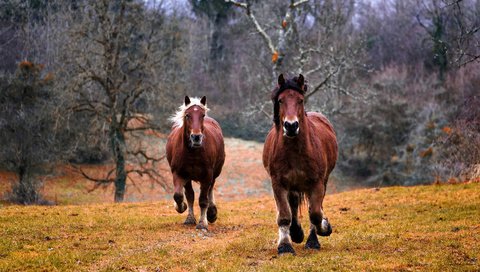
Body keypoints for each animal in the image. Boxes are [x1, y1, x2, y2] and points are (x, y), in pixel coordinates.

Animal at [166, 95, 226, 230]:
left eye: (202, 115)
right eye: (187, 115)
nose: (196, 137)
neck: (192, 153)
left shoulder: (207, 175)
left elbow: (203, 200)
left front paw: (203, 223)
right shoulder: (179, 173)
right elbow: (179, 195)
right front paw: (182, 208)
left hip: (214, 173)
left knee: (210, 189)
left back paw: (211, 213)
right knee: (190, 195)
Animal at [262, 74, 338, 255]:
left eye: (300, 100)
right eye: (281, 100)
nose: (291, 126)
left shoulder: (317, 183)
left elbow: (315, 213)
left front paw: (322, 231)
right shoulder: (278, 183)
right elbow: (284, 215)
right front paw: (285, 246)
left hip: (322, 182)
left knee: (313, 207)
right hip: (293, 185)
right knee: (294, 204)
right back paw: (295, 233)